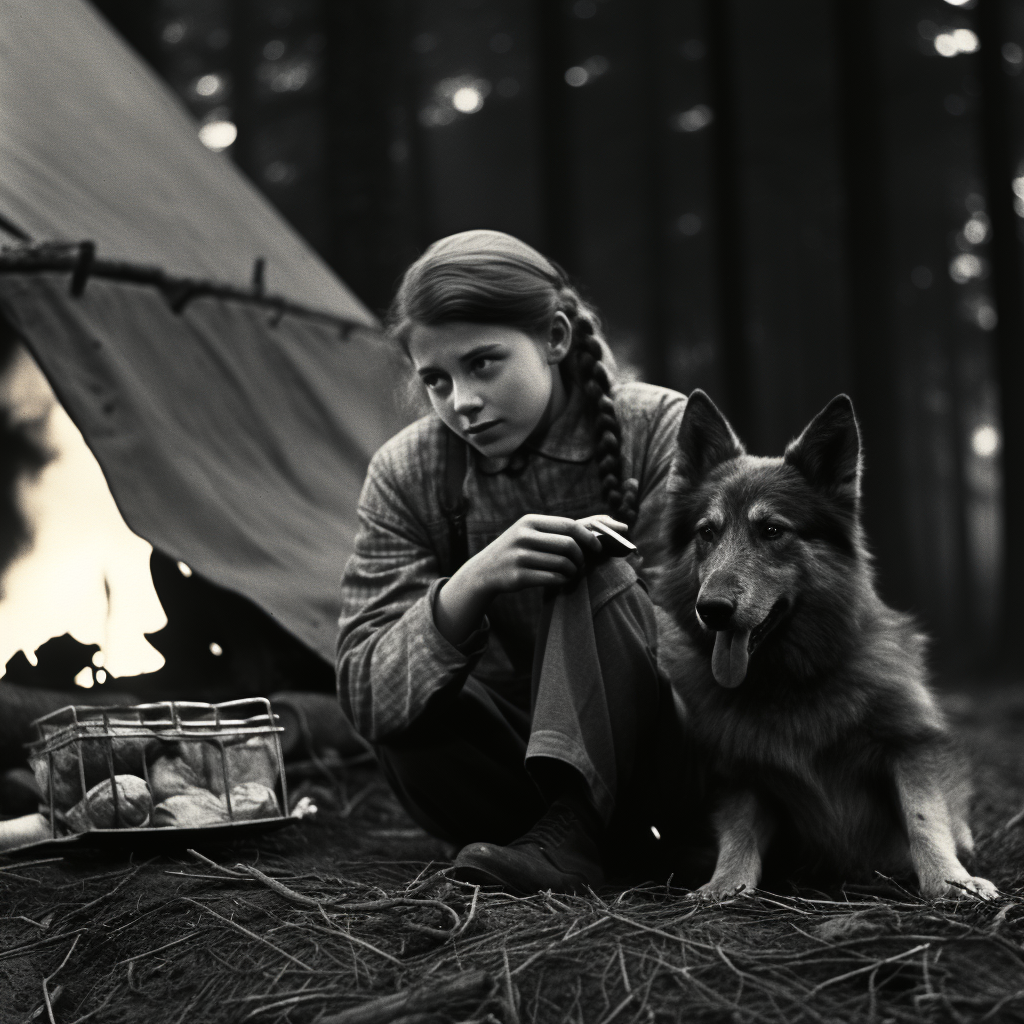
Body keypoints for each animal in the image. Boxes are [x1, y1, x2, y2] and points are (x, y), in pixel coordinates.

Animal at [651, 387, 995, 901]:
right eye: (707, 533)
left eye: (771, 530)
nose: (710, 610)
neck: (791, 684)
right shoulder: (739, 775)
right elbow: (739, 833)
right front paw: (724, 884)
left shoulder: (911, 746)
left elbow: (923, 816)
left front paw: (950, 881)